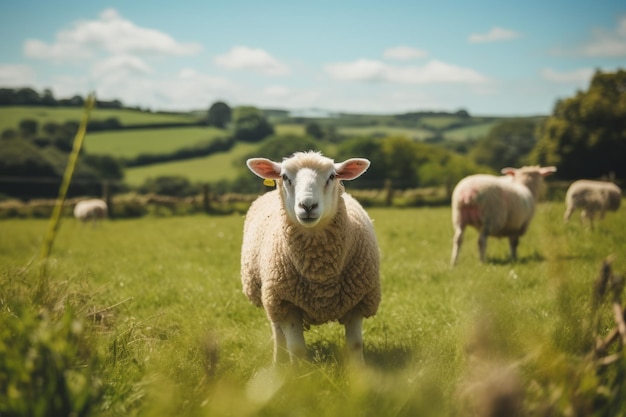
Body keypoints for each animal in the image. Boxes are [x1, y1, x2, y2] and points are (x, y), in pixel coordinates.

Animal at [240, 151, 380, 362]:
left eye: (332, 176)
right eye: (284, 177)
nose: (307, 206)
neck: (320, 273)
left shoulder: (359, 301)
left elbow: (355, 346)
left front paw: (359, 370)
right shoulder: (286, 303)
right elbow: (297, 349)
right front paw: (300, 371)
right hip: (271, 297)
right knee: (278, 334)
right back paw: (278, 363)